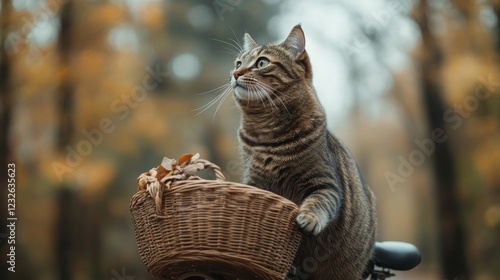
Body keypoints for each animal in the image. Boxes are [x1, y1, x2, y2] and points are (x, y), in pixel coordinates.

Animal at [232, 25, 376, 278]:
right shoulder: (255, 183)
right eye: (239, 62)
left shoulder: (325, 183)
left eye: (261, 63)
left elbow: (319, 201)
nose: (235, 73)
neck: (267, 136)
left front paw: (307, 217)